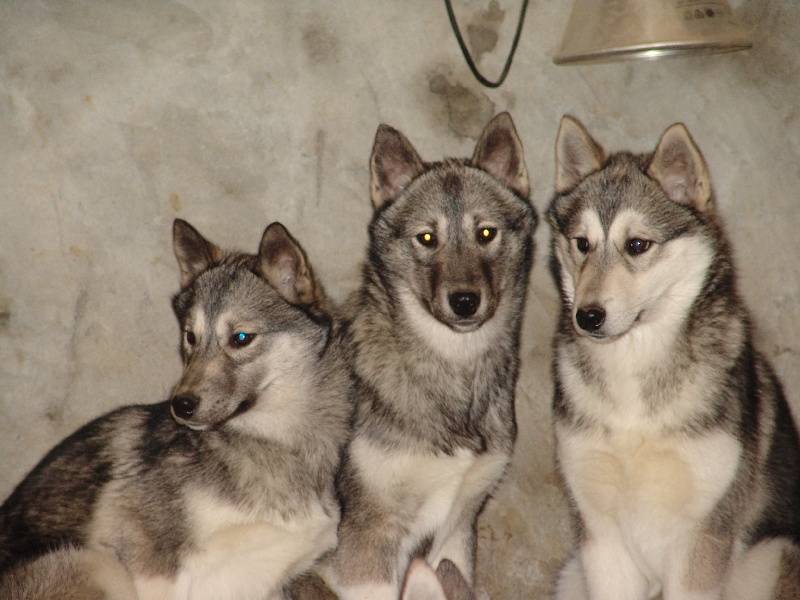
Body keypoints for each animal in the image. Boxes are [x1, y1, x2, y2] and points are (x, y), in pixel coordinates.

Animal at [0, 220, 354, 600]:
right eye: (190, 337)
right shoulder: (156, 565)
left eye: (241, 338)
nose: (181, 405)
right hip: (101, 564)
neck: (278, 446)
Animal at [552, 115, 800, 596]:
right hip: (572, 574)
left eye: (637, 245)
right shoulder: (601, 540)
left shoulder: (701, 541)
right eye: (581, 244)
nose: (587, 317)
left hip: (771, 553)